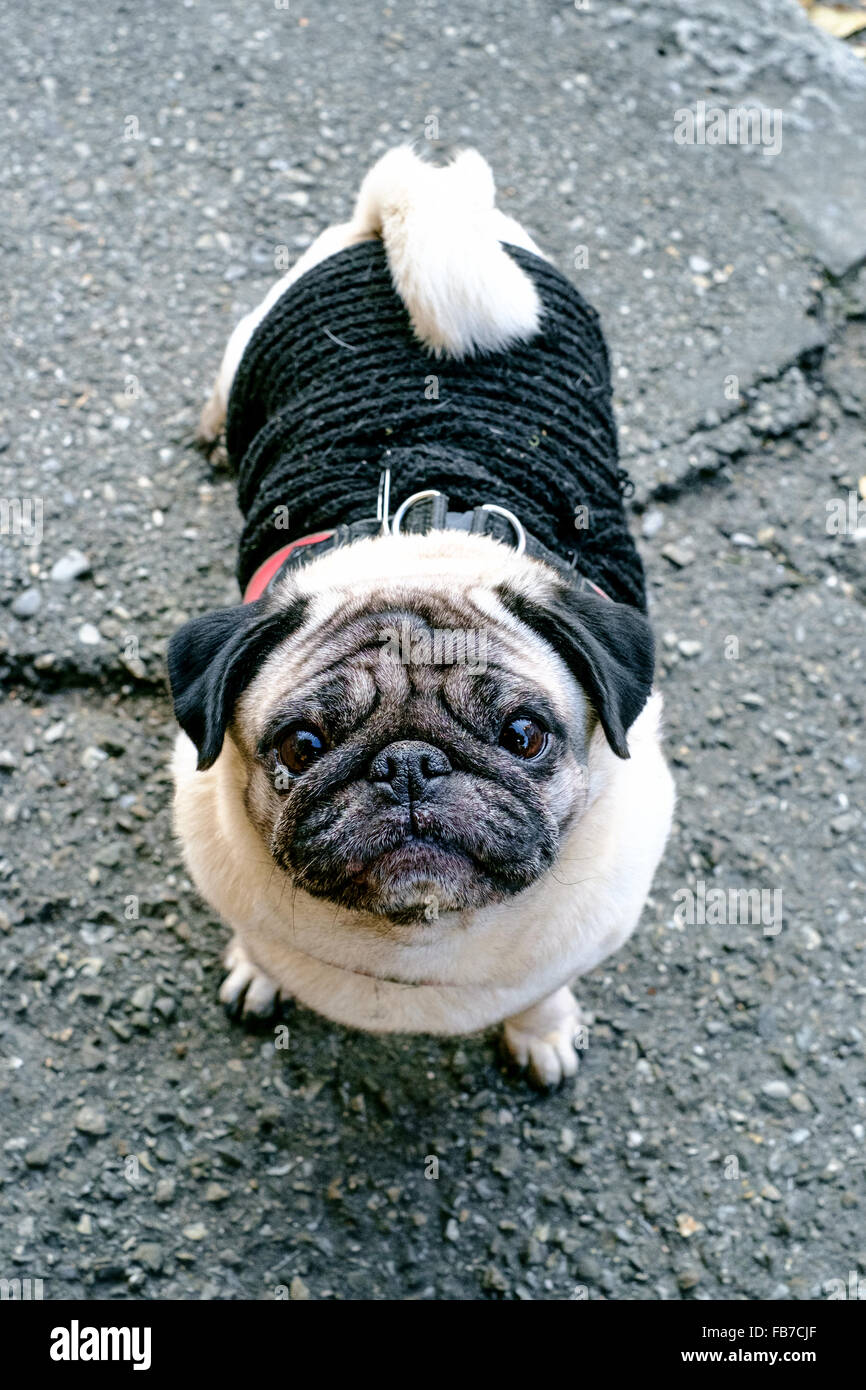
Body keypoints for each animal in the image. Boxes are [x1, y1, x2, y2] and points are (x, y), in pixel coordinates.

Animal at [166, 146, 675, 1089]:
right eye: (302, 747)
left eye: (523, 736)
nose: (409, 765)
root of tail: (404, 209)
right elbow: (256, 935)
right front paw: (257, 970)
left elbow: (548, 986)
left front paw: (542, 1030)